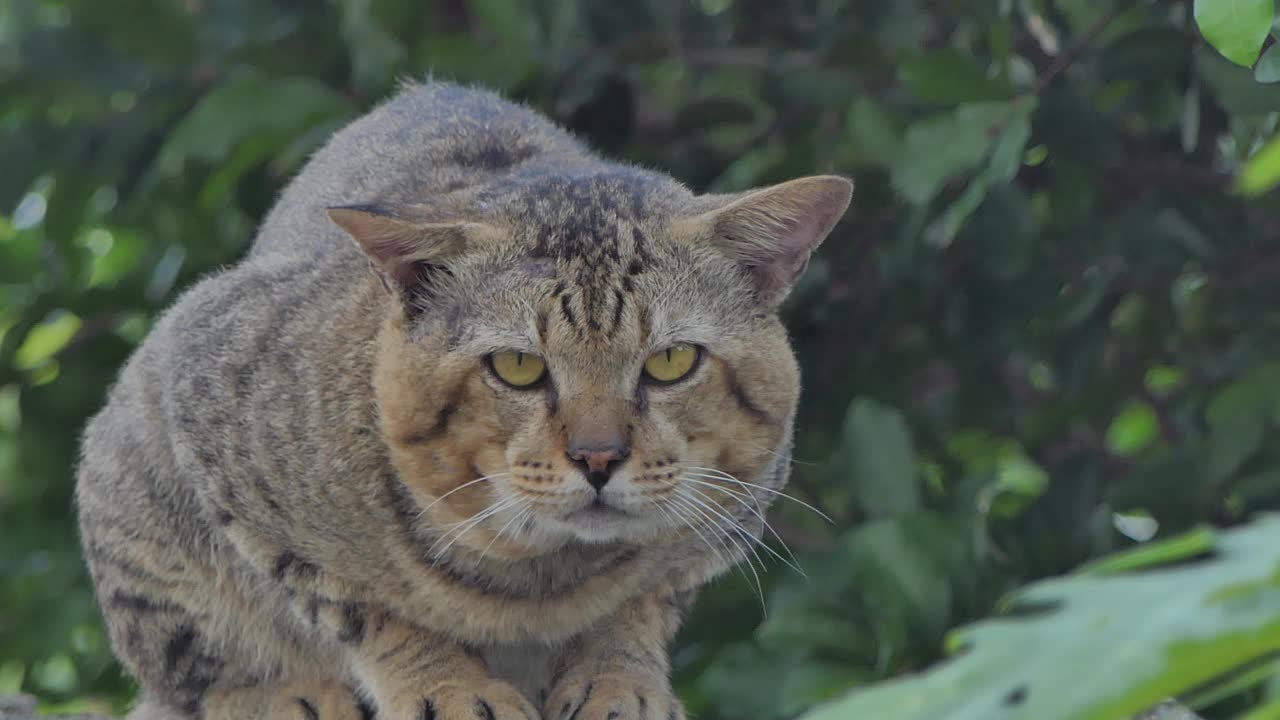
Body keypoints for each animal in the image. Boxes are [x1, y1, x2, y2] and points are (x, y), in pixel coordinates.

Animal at [72, 81, 849, 712]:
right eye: (517, 367)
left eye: (671, 361)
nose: (599, 458)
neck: (542, 580)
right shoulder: (205, 383)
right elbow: (359, 603)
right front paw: (444, 686)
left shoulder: (731, 512)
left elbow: (642, 602)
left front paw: (615, 676)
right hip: (131, 481)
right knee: (188, 674)